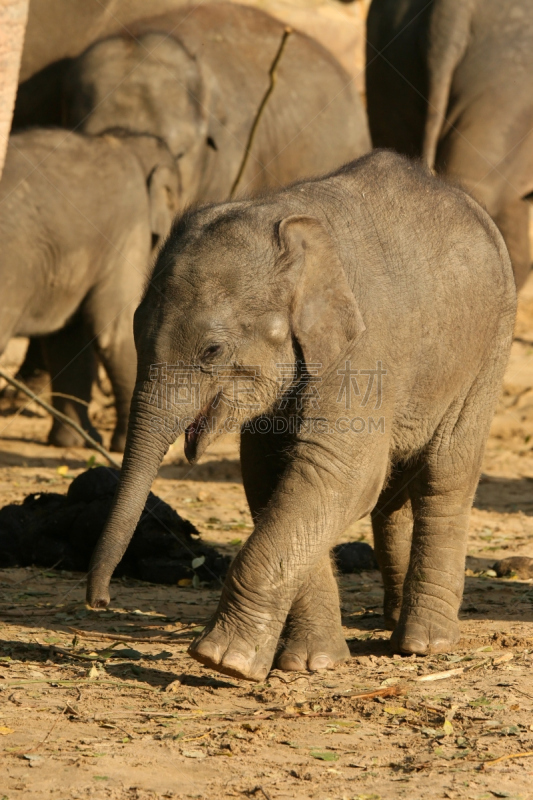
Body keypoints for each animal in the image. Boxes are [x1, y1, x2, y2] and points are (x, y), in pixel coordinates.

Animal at [0, 130, 179, 450]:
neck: (124, 140)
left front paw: (75, 442)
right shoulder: (128, 230)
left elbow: (65, 338)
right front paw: (115, 446)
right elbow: (116, 331)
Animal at [86, 152, 516, 680]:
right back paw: (393, 623)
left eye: (212, 351)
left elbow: (339, 474)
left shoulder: (363, 350)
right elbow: (273, 479)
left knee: (445, 474)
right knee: (395, 489)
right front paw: (312, 663)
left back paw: (424, 645)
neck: (284, 225)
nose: (100, 602)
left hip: (490, 347)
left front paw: (223, 661)